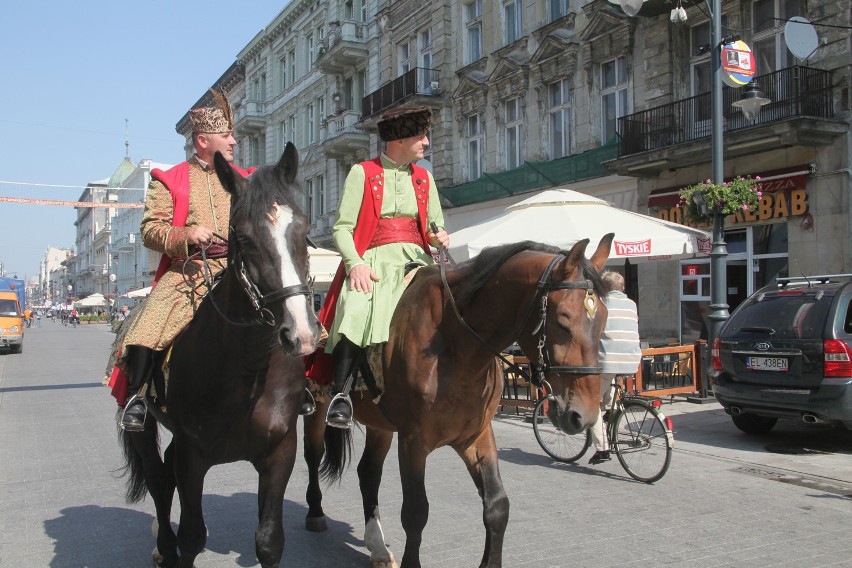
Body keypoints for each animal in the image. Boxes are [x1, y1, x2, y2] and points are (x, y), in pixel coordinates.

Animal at [118, 143, 322, 568]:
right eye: (243, 237)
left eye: (304, 229)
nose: (301, 334)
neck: (247, 367)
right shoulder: (193, 456)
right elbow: (192, 535)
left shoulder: (280, 451)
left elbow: (269, 540)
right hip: (142, 427)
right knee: (159, 482)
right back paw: (163, 547)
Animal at [302, 233, 608, 564]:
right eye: (563, 321)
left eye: (604, 321)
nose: (583, 415)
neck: (456, 345)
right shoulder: (413, 440)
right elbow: (415, 512)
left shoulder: (476, 434)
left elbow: (497, 505)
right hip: (317, 406)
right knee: (313, 455)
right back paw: (316, 512)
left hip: (380, 423)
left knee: (368, 472)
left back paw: (378, 547)